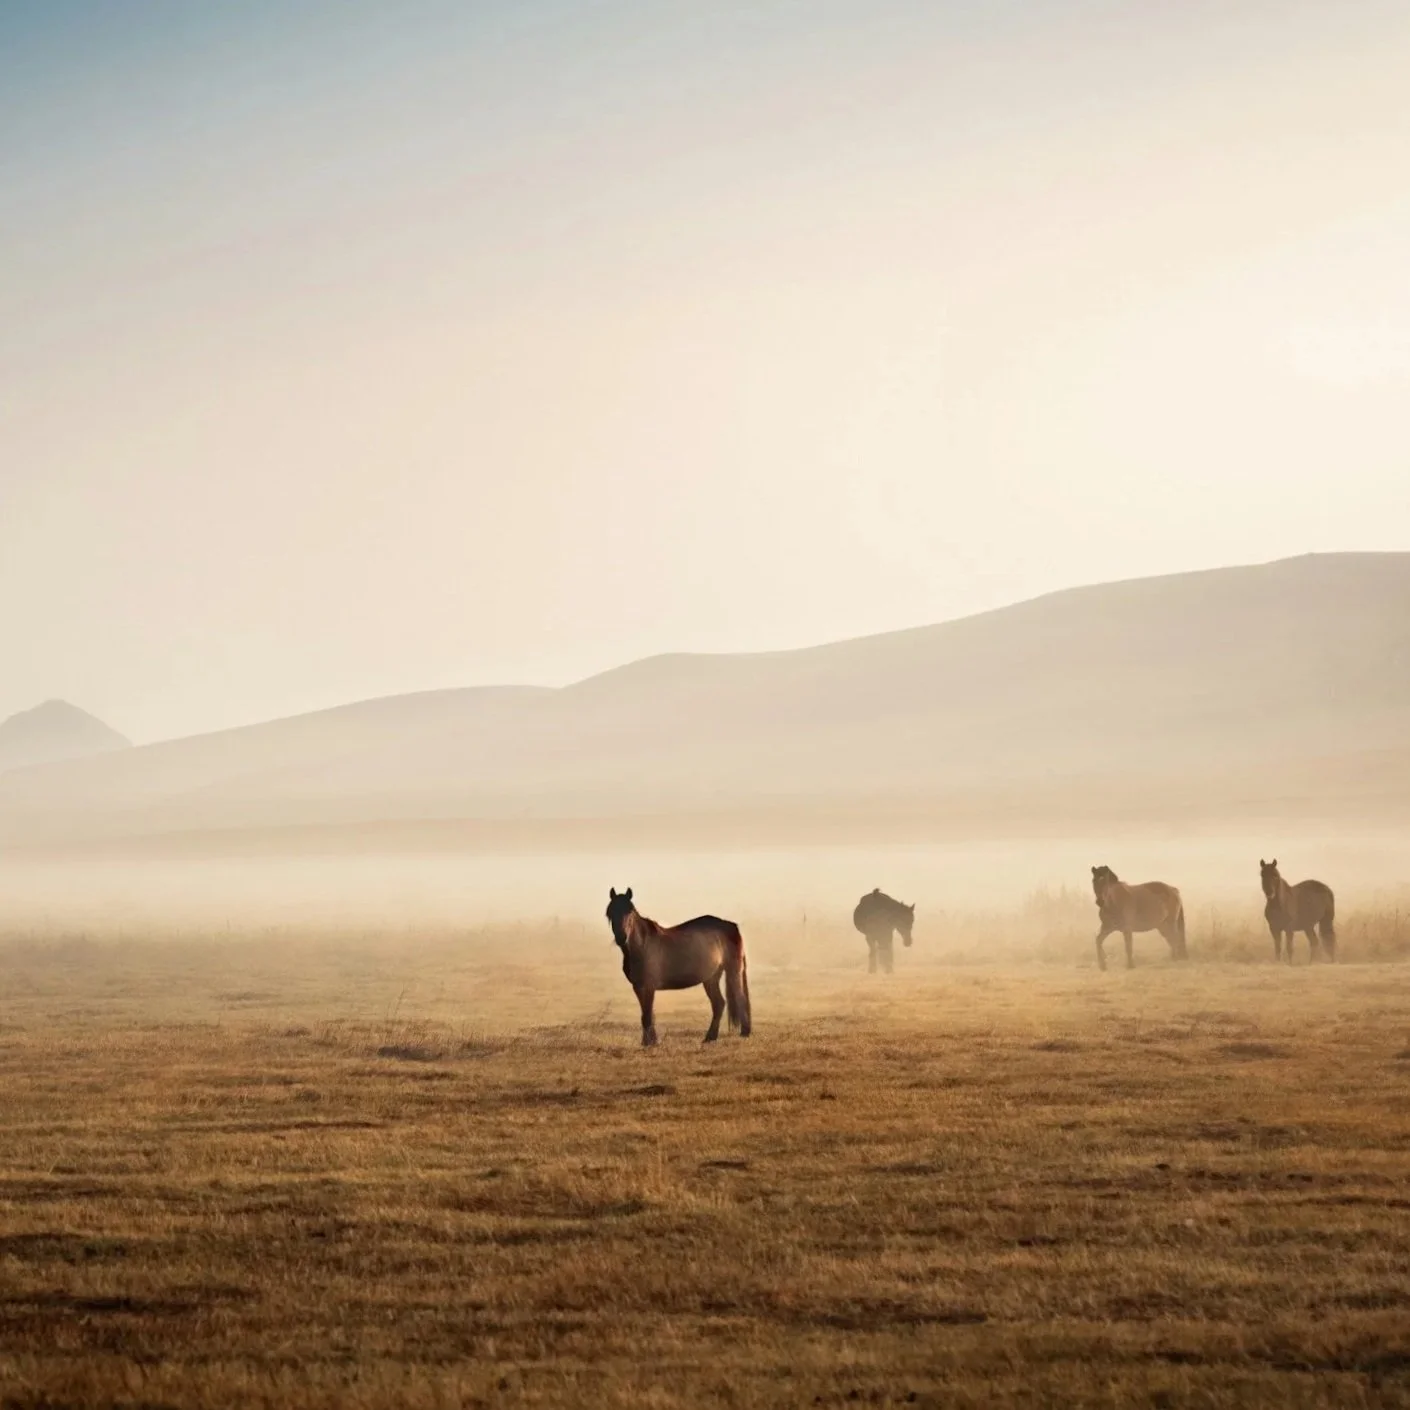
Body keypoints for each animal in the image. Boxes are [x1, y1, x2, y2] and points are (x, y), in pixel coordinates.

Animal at [604, 888, 751, 1046]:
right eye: (610, 913)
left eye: (630, 912)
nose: (621, 938)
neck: (642, 946)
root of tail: (732, 926)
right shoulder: (638, 987)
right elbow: (646, 1014)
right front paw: (649, 1041)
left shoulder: (649, 986)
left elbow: (648, 1015)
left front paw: (650, 1043)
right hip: (711, 978)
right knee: (719, 1004)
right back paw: (710, 1037)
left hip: (733, 971)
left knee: (739, 998)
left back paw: (744, 1033)